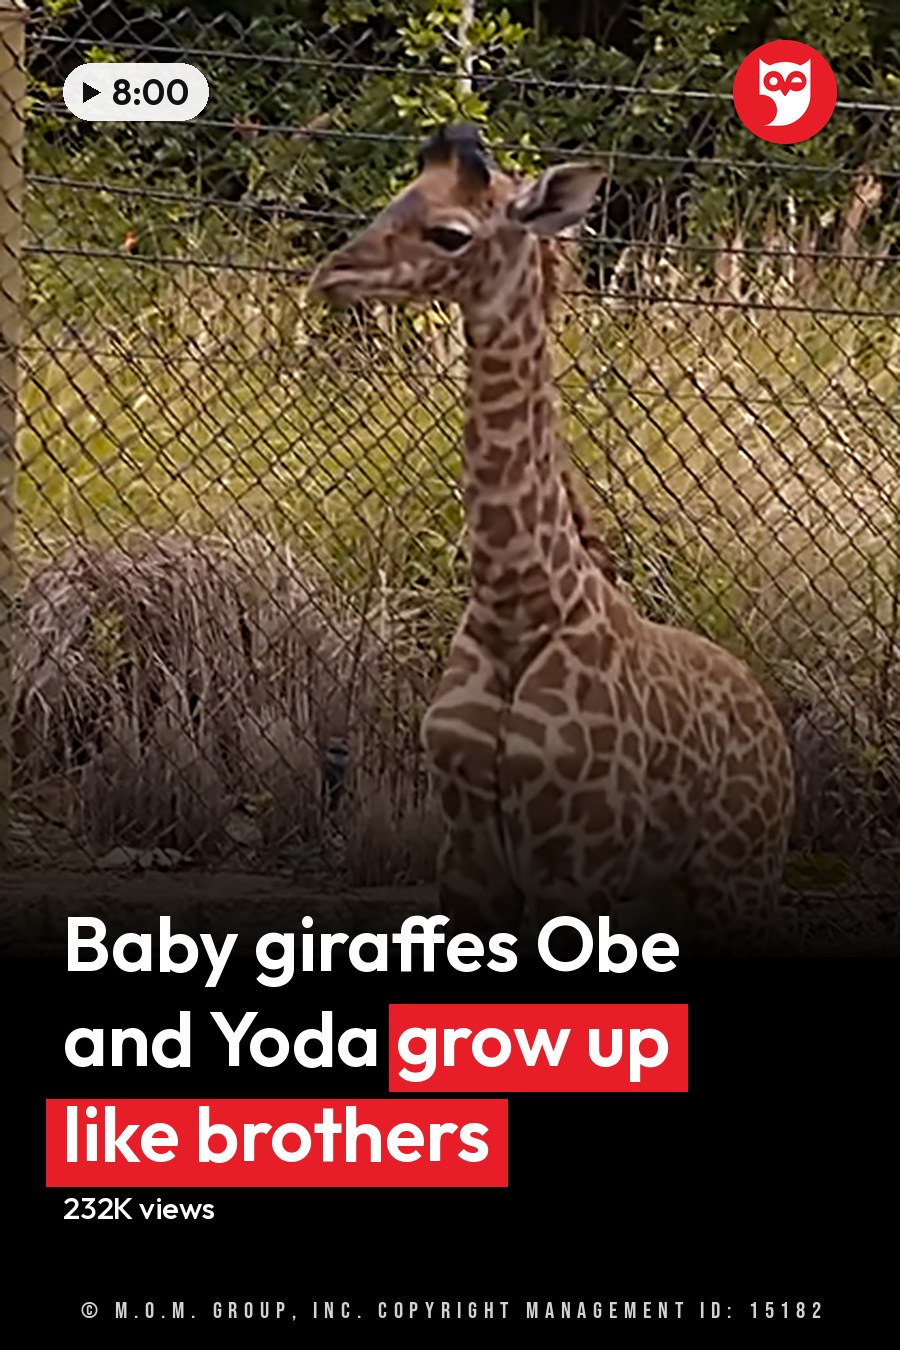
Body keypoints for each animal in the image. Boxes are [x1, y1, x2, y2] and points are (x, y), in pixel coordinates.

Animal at [310, 124, 795, 952]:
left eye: (451, 233)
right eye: (396, 199)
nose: (331, 274)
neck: (518, 602)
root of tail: (769, 720)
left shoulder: (574, 865)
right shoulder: (468, 859)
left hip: (738, 873)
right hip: (672, 887)